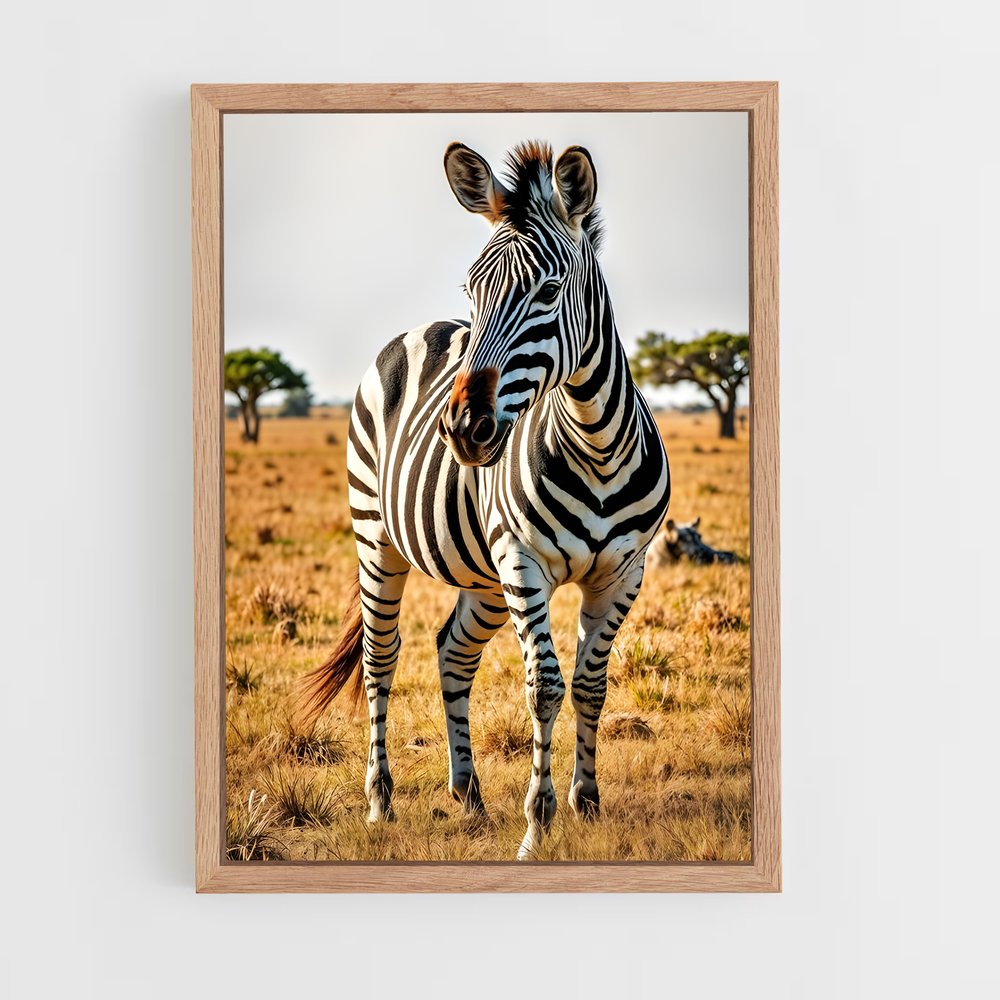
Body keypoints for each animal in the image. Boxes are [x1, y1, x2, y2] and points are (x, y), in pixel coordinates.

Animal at [299, 140, 671, 859]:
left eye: (549, 291)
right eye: (473, 290)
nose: (462, 429)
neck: (597, 445)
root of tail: (415, 329)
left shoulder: (624, 572)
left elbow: (590, 683)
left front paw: (586, 804)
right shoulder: (525, 561)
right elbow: (545, 685)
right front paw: (538, 822)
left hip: (484, 575)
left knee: (452, 650)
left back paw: (468, 794)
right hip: (377, 539)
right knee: (380, 659)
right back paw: (380, 801)